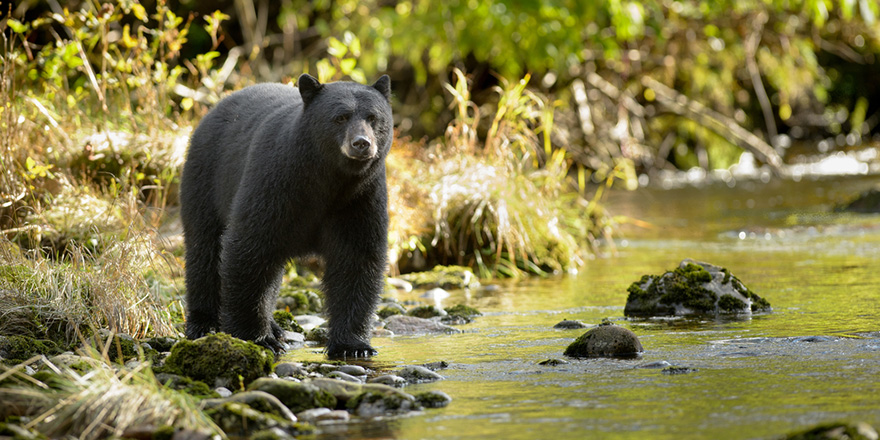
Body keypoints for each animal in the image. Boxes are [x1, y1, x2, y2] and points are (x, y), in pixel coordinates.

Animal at [179, 75, 392, 358]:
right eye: (340, 117)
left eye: (373, 117)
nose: (361, 143)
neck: (328, 180)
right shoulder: (275, 183)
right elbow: (249, 247)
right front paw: (257, 338)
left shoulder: (360, 198)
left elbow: (356, 259)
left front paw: (353, 346)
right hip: (205, 180)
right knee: (204, 249)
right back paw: (205, 323)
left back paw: (275, 326)